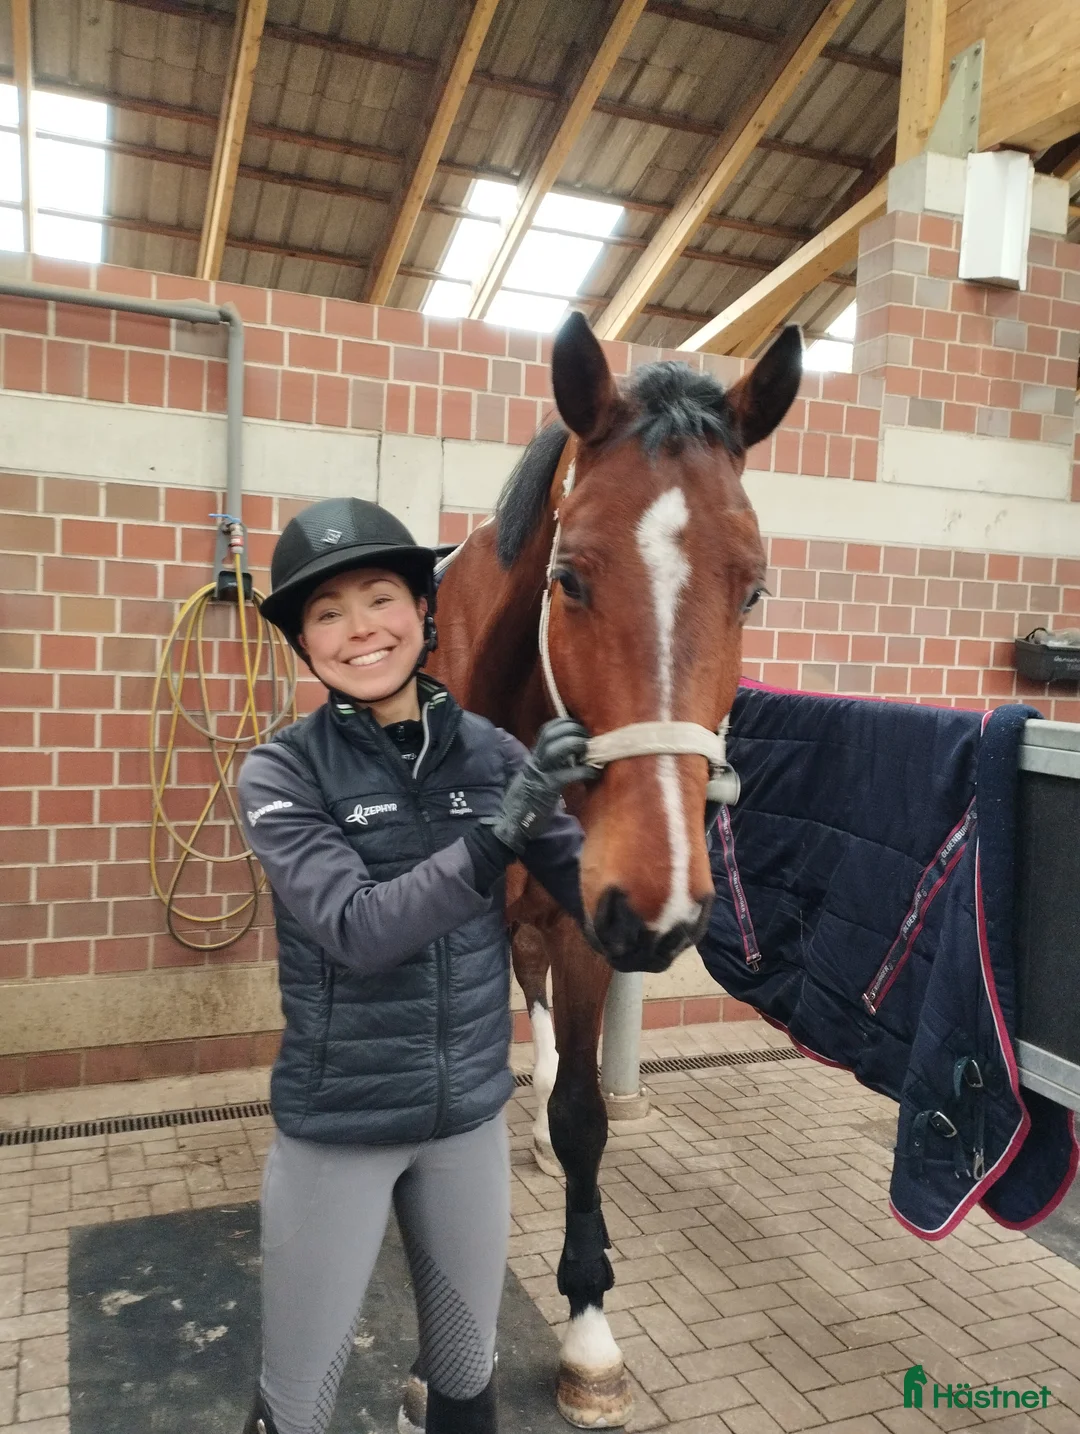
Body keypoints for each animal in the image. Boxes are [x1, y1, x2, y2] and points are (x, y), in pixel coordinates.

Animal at [427, 311, 802, 1427]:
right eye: (571, 578)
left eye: (752, 587)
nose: (664, 902)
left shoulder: (584, 922)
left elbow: (587, 1114)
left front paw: (589, 1329)